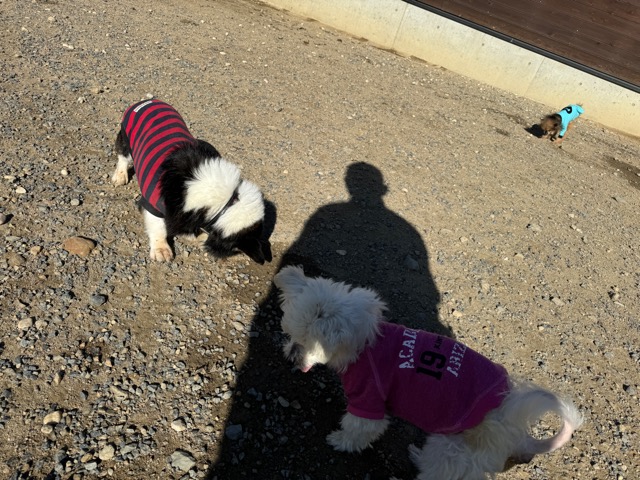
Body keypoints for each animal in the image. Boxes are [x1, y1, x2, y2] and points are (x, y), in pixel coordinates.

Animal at [111, 99, 269, 264]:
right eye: (236, 247)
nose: (260, 259)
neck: (225, 201)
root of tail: (148, 101)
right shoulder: (153, 204)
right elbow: (158, 227)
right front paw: (161, 249)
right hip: (125, 139)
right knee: (123, 157)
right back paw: (120, 176)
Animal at [274, 266, 582, 479]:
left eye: (307, 342)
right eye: (291, 335)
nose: (291, 353)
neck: (365, 343)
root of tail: (511, 422)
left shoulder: (368, 399)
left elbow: (358, 431)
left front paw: (339, 441)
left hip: (451, 449)